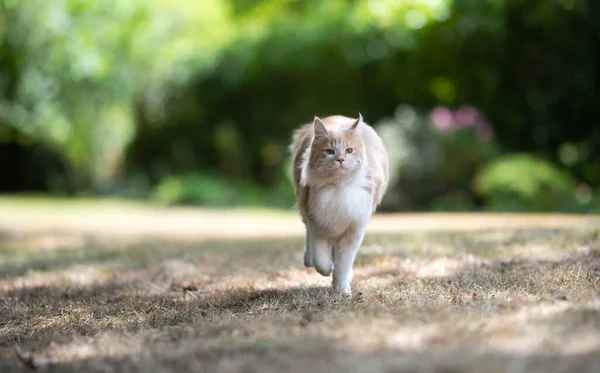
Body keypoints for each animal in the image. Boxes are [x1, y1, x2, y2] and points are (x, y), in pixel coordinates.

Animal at [290, 113, 390, 294]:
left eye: (349, 150)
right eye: (330, 151)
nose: (341, 159)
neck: (338, 187)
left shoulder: (353, 231)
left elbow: (343, 264)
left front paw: (342, 289)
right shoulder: (317, 225)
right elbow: (321, 261)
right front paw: (328, 270)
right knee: (309, 244)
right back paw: (309, 260)